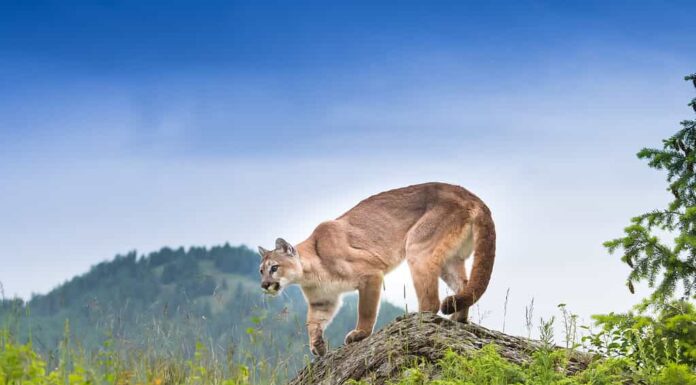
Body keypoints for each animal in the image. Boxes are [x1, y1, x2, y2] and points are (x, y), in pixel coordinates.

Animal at [256, 182, 494, 356]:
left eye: (274, 267)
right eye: (261, 270)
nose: (264, 285)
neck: (310, 273)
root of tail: (470, 195)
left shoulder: (370, 274)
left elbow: (366, 309)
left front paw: (360, 334)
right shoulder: (322, 300)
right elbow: (313, 322)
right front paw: (318, 346)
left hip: (418, 248)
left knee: (432, 300)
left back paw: (418, 318)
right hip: (449, 260)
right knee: (465, 285)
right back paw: (458, 319)